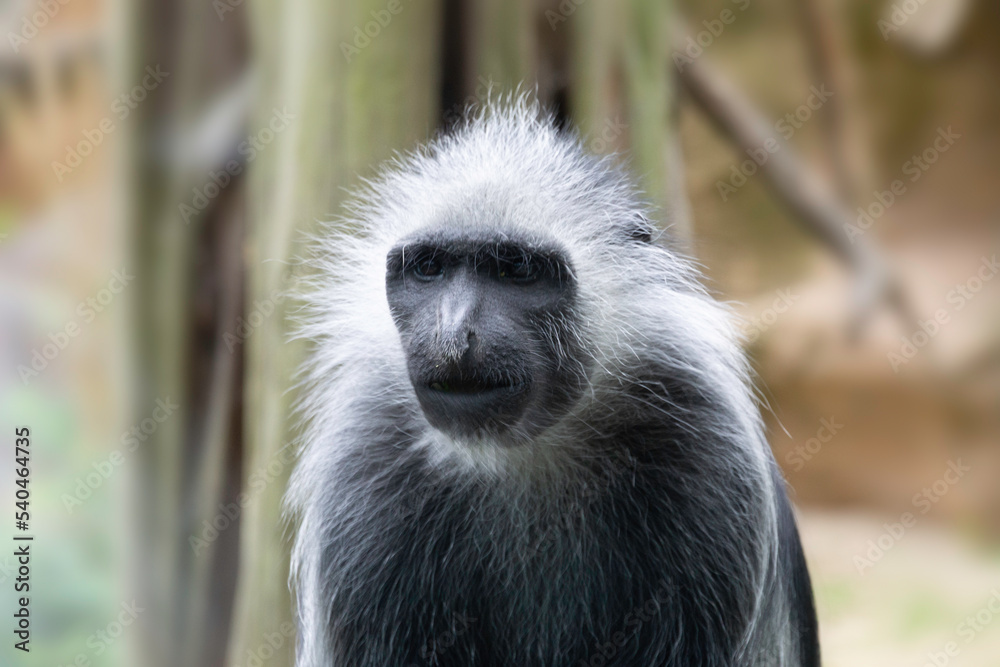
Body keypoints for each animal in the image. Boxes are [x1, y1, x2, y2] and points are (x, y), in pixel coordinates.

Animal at [286, 97, 820, 667]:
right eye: (428, 269)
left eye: (517, 271)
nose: (453, 335)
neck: (521, 454)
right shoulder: (362, 476)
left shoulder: (708, 449)